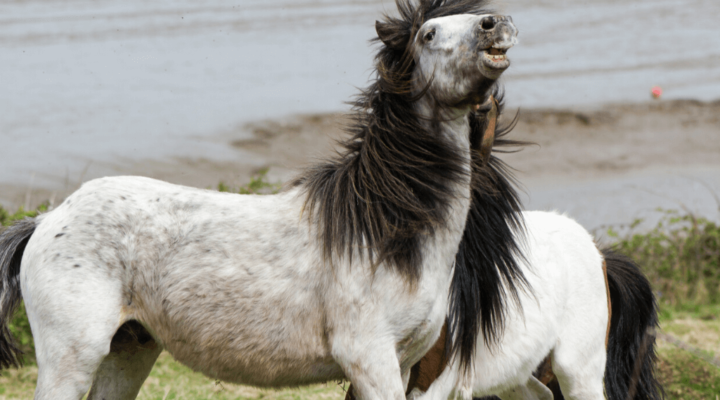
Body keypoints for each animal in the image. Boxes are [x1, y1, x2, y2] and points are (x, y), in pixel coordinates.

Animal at [0, 1, 527, 399]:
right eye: (429, 34)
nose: (495, 24)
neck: (381, 232)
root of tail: (46, 220)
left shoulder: (400, 364)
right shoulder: (370, 360)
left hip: (130, 349)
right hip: (72, 358)